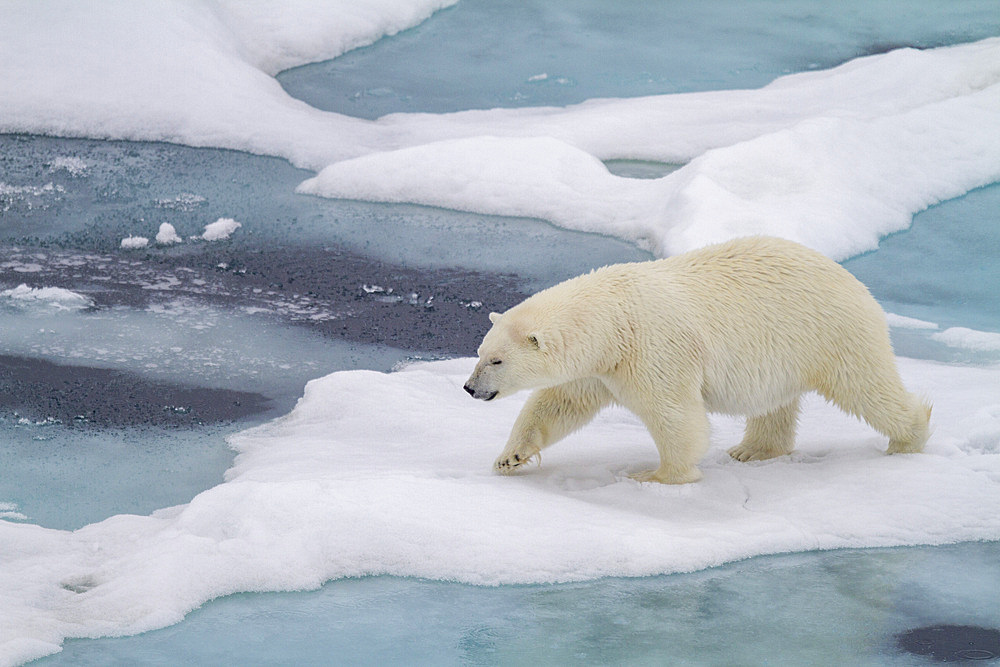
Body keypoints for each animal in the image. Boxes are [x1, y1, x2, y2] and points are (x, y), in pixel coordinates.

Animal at [464, 236, 932, 486]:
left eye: (497, 362)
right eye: (480, 353)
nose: (470, 388)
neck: (615, 316)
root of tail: (854, 280)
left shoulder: (651, 348)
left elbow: (674, 414)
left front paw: (657, 476)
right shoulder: (599, 366)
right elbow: (558, 404)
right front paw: (509, 458)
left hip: (831, 331)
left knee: (866, 386)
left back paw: (910, 437)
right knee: (775, 404)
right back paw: (752, 450)